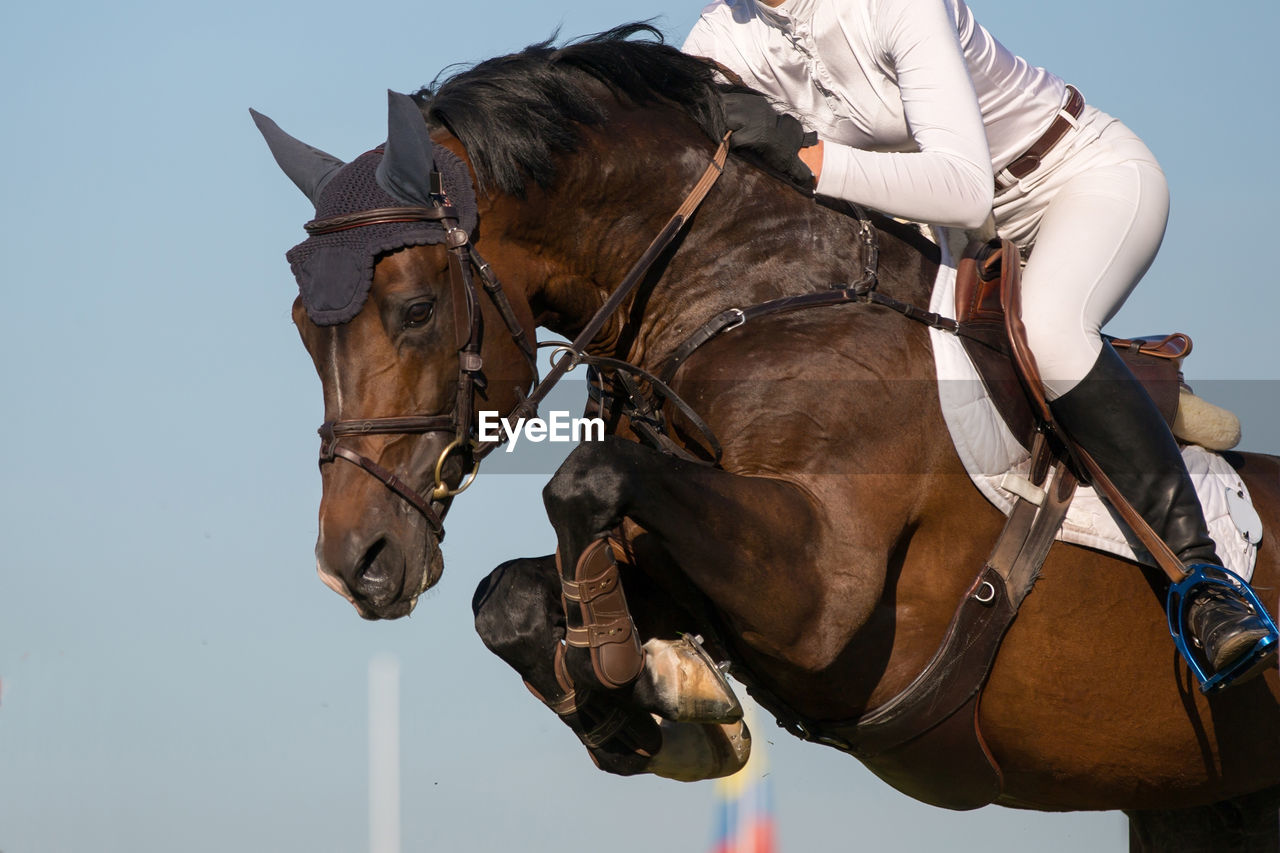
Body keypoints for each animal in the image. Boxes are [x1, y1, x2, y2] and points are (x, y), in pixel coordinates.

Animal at [254, 23, 1280, 845]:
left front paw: (648, 678)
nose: (354, 564)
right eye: (304, 326)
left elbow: (580, 481)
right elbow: (509, 593)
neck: (754, 288)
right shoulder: (681, 552)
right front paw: (655, 699)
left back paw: (1222, 620)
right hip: (1199, 804)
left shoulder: (825, 588)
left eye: (417, 309)